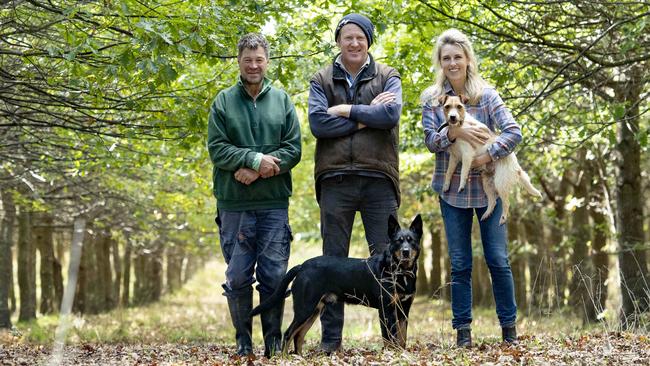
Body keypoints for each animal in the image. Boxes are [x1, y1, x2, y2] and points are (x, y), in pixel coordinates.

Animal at [248, 214, 420, 354]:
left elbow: (402, 338)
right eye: (398, 241)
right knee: (289, 333)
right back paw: (285, 358)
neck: (400, 272)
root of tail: (302, 266)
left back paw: (299, 358)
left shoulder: (404, 309)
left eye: (411, 241)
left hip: (314, 310)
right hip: (305, 308)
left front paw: (402, 354)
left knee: (299, 336)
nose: (405, 252)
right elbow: (390, 339)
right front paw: (393, 354)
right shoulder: (387, 309)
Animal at [436, 93, 540, 223]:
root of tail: (516, 167)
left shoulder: (467, 154)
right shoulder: (454, 157)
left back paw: (503, 217)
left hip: (500, 182)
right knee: (493, 201)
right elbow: (448, 172)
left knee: (506, 203)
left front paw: (461, 185)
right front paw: (446, 185)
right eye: (447, 107)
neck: (460, 124)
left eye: (459, 106)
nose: (452, 117)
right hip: (487, 182)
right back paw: (487, 214)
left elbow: (463, 172)